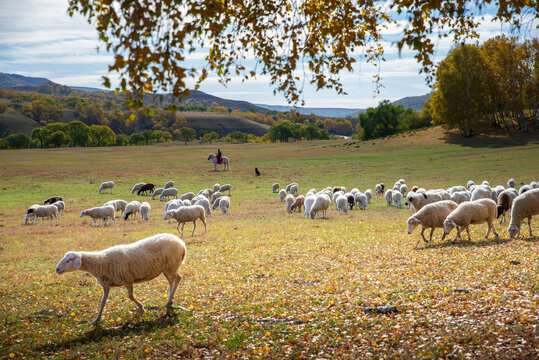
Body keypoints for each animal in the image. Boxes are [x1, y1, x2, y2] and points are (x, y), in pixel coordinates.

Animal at [54, 233, 186, 326]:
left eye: (68, 260)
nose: (57, 269)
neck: (101, 262)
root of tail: (181, 243)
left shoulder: (128, 279)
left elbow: (130, 297)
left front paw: (142, 308)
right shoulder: (106, 285)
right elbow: (102, 303)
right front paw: (96, 320)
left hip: (171, 265)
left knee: (178, 278)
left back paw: (169, 301)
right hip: (166, 269)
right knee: (171, 281)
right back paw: (170, 299)